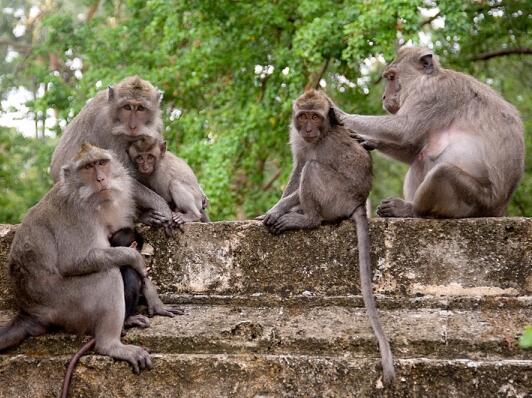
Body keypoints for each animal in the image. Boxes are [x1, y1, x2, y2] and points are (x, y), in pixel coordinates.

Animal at [0, 145, 181, 374]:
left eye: (101, 163)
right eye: (87, 167)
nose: (100, 179)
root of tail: (29, 312)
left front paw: (156, 303)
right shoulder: (77, 215)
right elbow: (73, 262)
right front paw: (136, 258)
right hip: (65, 304)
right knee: (108, 275)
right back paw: (111, 345)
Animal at [50, 76, 172, 229]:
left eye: (141, 108)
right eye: (127, 107)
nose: (132, 126)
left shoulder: (156, 126)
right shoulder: (104, 127)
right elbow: (123, 176)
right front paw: (163, 207)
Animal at [262, 89, 392, 386]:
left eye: (315, 116)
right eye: (303, 116)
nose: (309, 128)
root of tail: (358, 202)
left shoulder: (325, 146)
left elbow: (307, 167)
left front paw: (277, 209)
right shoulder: (298, 137)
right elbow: (297, 166)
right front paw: (273, 207)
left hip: (336, 197)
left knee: (313, 168)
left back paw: (305, 217)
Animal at [336, 49, 524, 221]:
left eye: (391, 77)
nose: (383, 97)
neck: (428, 77)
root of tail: (499, 208)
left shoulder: (431, 93)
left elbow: (403, 129)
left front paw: (341, 115)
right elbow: (412, 148)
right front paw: (369, 140)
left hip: (478, 201)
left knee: (441, 172)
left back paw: (411, 210)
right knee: (420, 157)